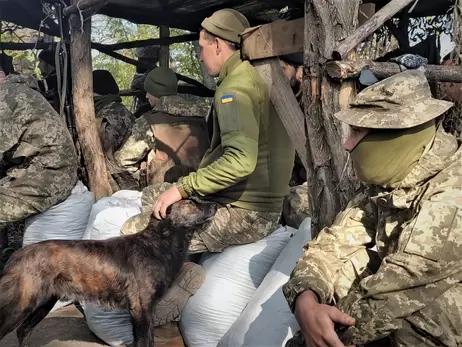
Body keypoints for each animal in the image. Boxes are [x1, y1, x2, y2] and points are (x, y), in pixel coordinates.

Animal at [0, 200, 217, 347]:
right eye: (191, 202)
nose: (215, 204)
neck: (158, 242)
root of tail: (16, 255)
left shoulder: (147, 310)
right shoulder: (141, 309)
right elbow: (143, 342)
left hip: (43, 303)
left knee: (23, 330)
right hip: (20, 305)